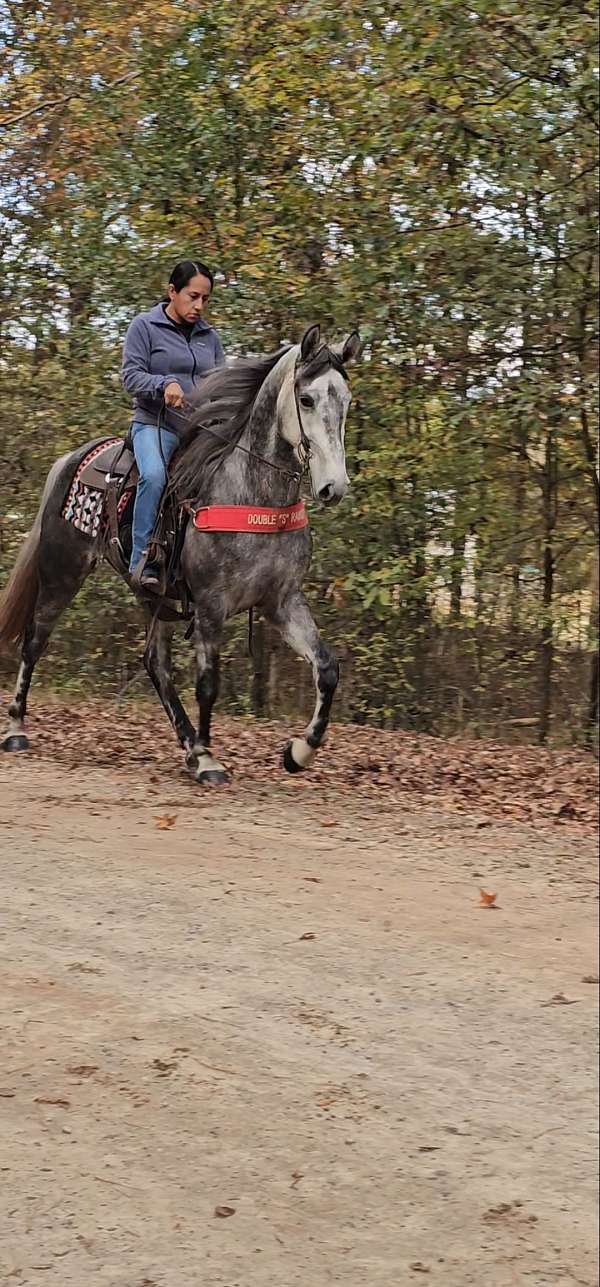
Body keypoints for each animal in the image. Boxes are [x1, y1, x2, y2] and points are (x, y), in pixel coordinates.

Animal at [0, 324, 361, 784]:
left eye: (345, 400)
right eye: (307, 399)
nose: (334, 486)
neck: (251, 492)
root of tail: (72, 459)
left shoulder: (282, 602)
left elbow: (327, 669)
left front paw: (298, 753)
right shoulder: (210, 605)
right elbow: (208, 683)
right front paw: (209, 759)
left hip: (153, 596)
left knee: (156, 664)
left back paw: (188, 743)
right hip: (62, 572)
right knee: (34, 641)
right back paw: (16, 729)